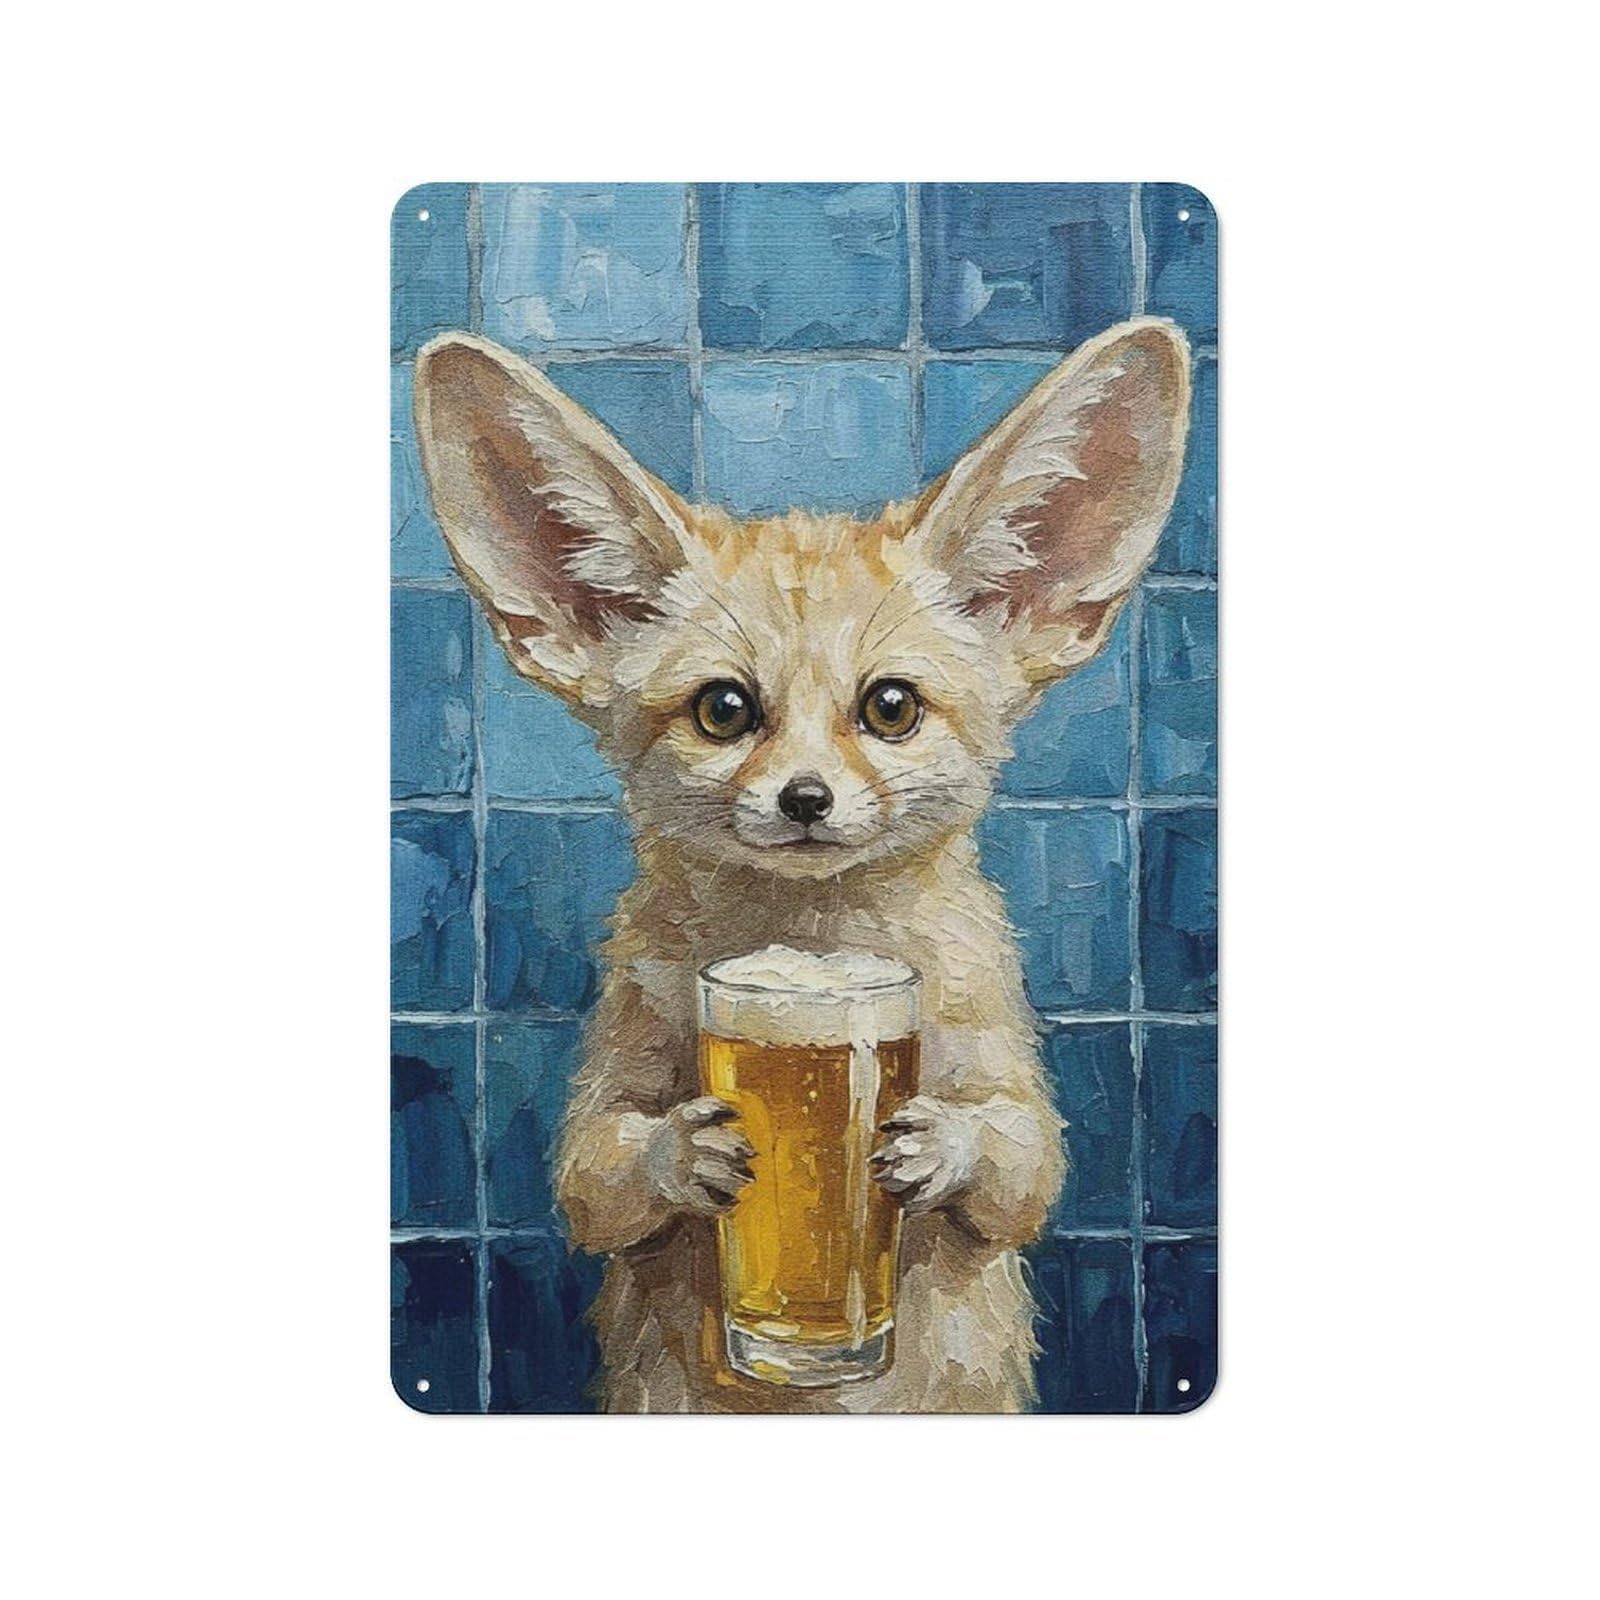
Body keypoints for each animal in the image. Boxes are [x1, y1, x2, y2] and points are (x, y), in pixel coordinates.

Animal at [413, 316, 1191, 1412]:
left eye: (891, 707)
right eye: (724, 710)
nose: (806, 800)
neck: (816, 942)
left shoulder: (1011, 1084)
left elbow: (1022, 1164)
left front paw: (933, 1141)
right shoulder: (611, 1087)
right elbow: (597, 1174)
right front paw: (686, 1148)